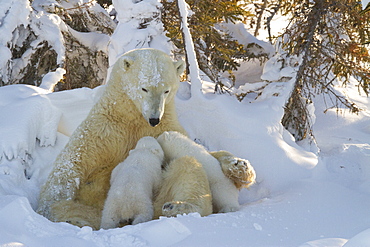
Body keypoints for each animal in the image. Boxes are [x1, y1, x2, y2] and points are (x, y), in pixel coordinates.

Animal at [38, 48, 240, 230]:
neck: (133, 118)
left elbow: (201, 150)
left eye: (166, 90)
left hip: (158, 197)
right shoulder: (104, 130)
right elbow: (72, 164)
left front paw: (238, 166)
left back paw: (178, 207)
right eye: (144, 88)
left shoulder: (166, 124)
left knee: (187, 166)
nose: (154, 118)